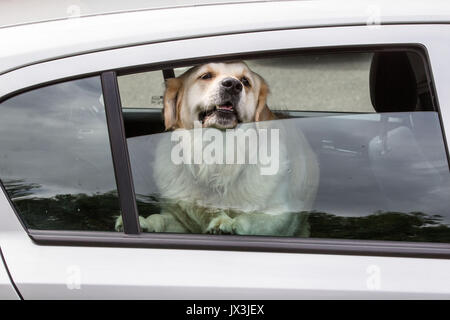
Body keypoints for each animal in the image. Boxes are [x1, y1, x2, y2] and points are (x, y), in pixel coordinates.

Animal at [116, 61, 320, 236]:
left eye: (245, 81)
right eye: (206, 76)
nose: (233, 85)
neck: (216, 156)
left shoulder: (282, 217)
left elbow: (250, 218)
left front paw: (227, 223)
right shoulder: (180, 222)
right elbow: (160, 218)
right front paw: (144, 222)